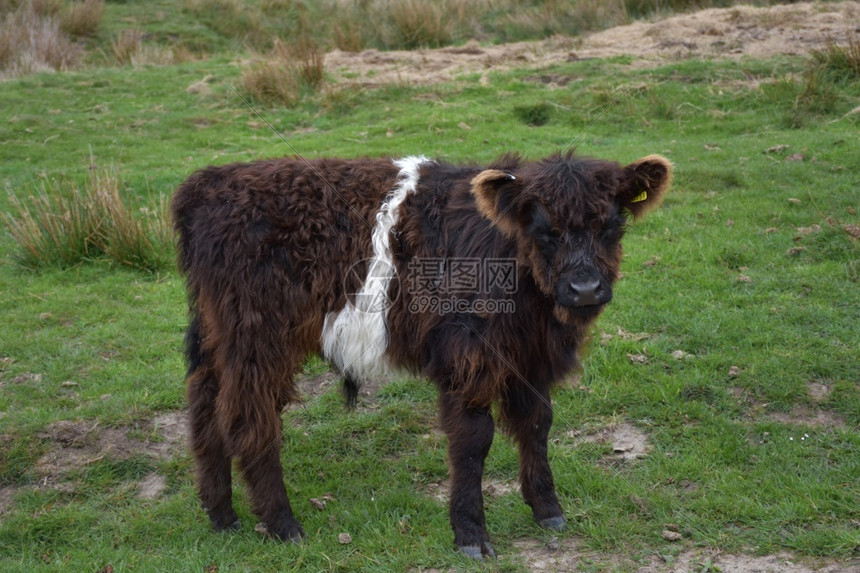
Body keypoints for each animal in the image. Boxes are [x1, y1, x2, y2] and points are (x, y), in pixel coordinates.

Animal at [173, 150, 672, 556]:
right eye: (545, 229)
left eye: (612, 225)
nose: (585, 289)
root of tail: (213, 180)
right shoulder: (468, 358)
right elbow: (473, 440)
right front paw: (470, 534)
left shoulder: (528, 361)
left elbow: (536, 425)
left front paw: (548, 509)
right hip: (257, 339)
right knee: (248, 420)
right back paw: (283, 525)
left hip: (217, 338)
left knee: (204, 405)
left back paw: (222, 514)